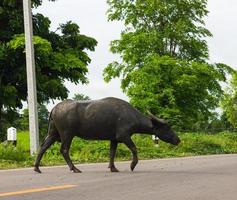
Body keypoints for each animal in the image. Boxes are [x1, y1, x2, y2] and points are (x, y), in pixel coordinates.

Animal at [34, 97, 181, 173]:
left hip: (53, 133)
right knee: (64, 149)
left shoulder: (113, 139)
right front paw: (132, 165)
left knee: (43, 147)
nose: (178, 140)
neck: (132, 116)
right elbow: (134, 149)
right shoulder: (123, 136)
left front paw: (113, 168)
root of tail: (54, 108)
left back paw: (37, 168)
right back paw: (74, 168)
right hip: (67, 134)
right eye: (168, 127)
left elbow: (112, 153)